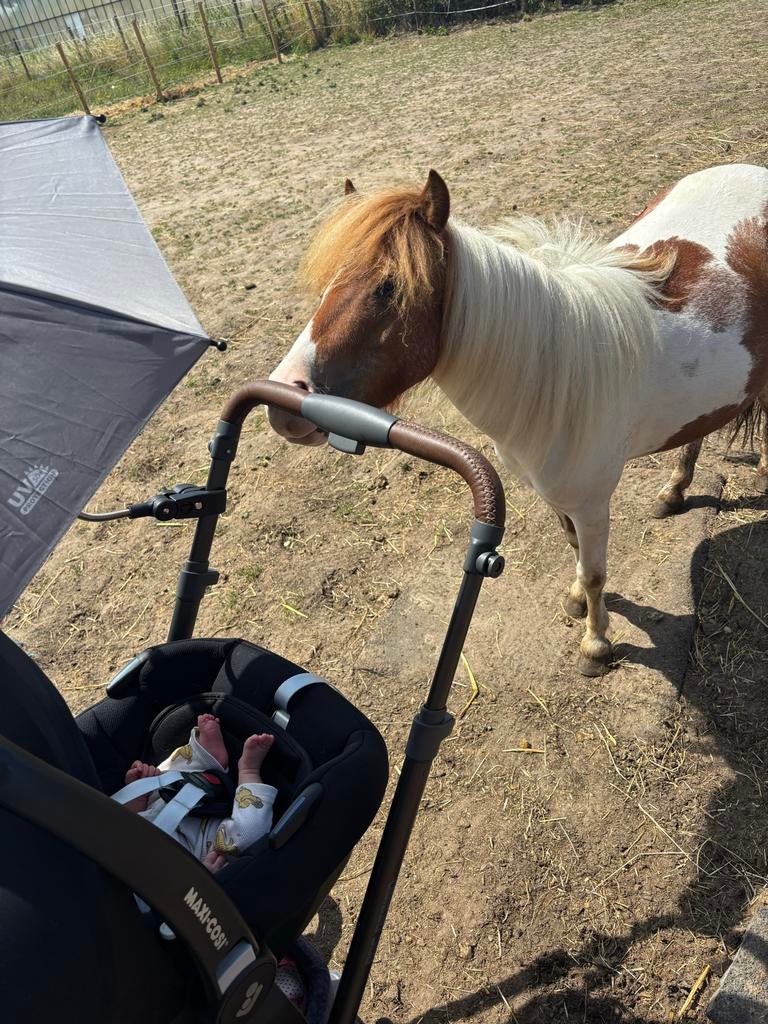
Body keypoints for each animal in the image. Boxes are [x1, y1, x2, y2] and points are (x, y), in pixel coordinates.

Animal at [267, 165, 768, 676]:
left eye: (387, 287)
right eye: (328, 282)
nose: (283, 400)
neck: (559, 370)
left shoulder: (591, 502)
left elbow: (595, 573)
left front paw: (596, 644)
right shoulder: (554, 495)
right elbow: (574, 551)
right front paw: (577, 603)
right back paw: (675, 491)